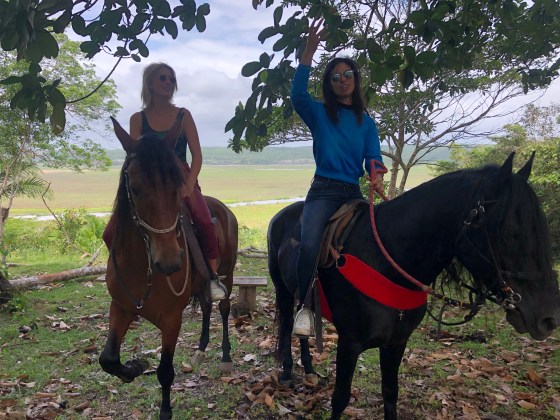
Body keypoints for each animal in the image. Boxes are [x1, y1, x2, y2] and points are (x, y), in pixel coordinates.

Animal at [99, 117, 238, 419]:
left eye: (177, 187)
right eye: (135, 188)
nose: (171, 261)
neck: (143, 268)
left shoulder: (172, 320)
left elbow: (165, 371)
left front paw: (165, 410)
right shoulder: (121, 307)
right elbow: (108, 359)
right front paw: (133, 368)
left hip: (228, 273)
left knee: (222, 308)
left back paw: (225, 356)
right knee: (206, 306)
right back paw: (200, 349)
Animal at [267, 153, 559, 420]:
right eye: (511, 233)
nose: (548, 319)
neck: (386, 262)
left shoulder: (396, 343)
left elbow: (390, 394)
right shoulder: (349, 343)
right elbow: (340, 398)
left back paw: (309, 369)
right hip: (282, 290)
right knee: (287, 324)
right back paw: (287, 372)